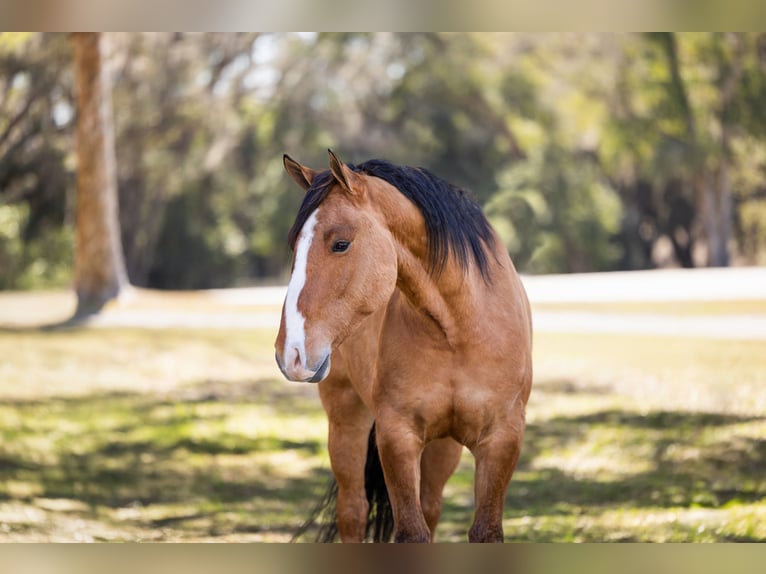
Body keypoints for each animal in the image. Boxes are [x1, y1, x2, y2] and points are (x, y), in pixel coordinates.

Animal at [275, 150, 533, 543]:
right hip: (346, 418)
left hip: (443, 446)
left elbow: (483, 530)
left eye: (340, 243)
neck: (457, 330)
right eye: (293, 246)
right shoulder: (397, 437)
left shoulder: (502, 440)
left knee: (430, 506)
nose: (290, 352)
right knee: (353, 511)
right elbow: (411, 531)